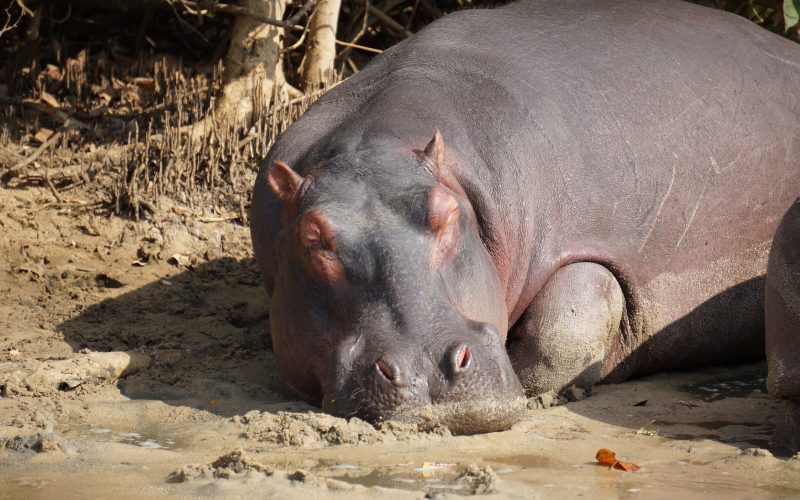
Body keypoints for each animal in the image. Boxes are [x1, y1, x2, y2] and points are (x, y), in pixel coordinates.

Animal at [250, 0, 800, 434]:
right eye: (313, 238)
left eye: (447, 213)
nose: (427, 369)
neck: (379, 143)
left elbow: (563, 327)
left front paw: (543, 392)